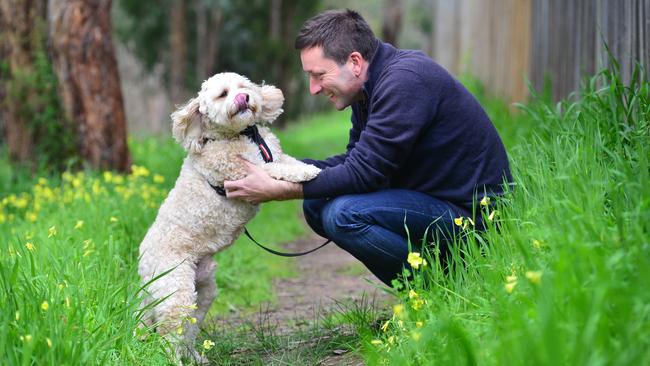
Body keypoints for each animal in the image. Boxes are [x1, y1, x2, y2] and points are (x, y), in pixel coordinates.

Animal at [137, 72, 318, 364]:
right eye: (223, 94)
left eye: (243, 87)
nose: (243, 98)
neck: (239, 135)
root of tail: (142, 265)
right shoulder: (245, 173)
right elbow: (276, 170)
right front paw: (306, 173)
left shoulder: (273, 156)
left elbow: (286, 161)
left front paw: (305, 166)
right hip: (176, 289)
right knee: (169, 335)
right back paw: (175, 359)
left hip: (202, 292)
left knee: (188, 330)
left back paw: (195, 357)